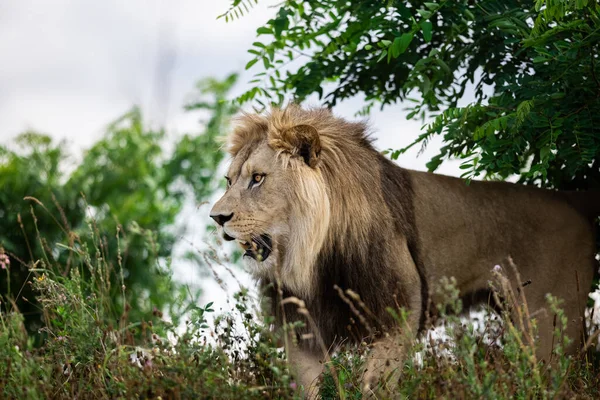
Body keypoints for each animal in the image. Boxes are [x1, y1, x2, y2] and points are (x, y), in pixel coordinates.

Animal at [211, 104, 600, 396]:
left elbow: (376, 383)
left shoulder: (399, 307)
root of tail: (573, 199)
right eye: (229, 181)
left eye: (258, 179)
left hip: (549, 325)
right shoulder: (301, 327)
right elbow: (310, 387)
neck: (310, 255)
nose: (217, 217)